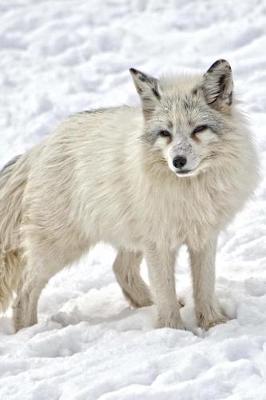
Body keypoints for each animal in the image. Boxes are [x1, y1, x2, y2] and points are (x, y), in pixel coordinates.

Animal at [0, 60, 258, 332]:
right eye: (165, 133)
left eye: (199, 129)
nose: (178, 161)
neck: (190, 190)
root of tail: (39, 147)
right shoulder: (159, 243)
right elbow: (165, 291)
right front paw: (172, 330)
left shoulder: (204, 237)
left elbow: (204, 287)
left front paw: (213, 323)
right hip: (60, 248)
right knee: (24, 293)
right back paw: (28, 331)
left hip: (128, 236)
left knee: (120, 269)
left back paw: (147, 304)